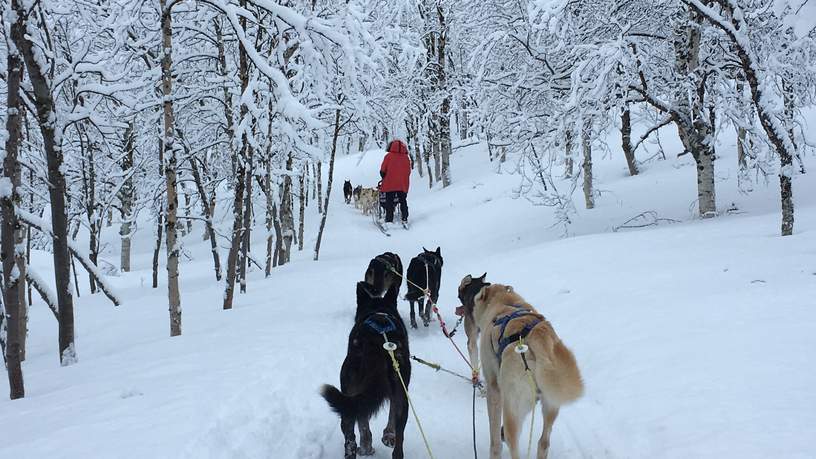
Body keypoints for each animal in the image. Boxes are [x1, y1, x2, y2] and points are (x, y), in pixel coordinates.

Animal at [318, 282, 408, 459]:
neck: (379, 310)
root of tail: (377, 345)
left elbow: (365, 424)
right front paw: (387, 436)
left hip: (348, 395)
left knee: (351, 437)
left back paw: (362, 448)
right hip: (401, 396)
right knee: (398, 445)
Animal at [456, 276, 584, 459]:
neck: (504, 302)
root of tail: (538, 340)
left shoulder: (494, 389)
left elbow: (495, 438)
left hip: (512, 409)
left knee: (512, 442)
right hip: (550, 405)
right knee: (543, 442)